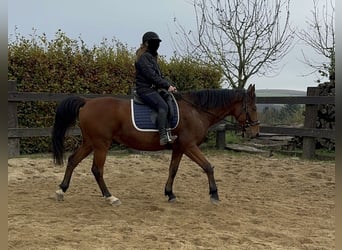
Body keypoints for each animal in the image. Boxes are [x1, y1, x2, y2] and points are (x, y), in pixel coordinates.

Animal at [51, 84, 260, 205]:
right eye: (253, 107)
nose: (256, 133)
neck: (196, 111)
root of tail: (86, 102)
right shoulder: (189, 145)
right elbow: (208, 166)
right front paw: (214, 194)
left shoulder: (179, 147)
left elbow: (173, 170)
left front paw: (170, 193)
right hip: (101, 144)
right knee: (97, 169)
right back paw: (110, 196)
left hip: (90, 142)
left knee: (73, 160)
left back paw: (61, 190)